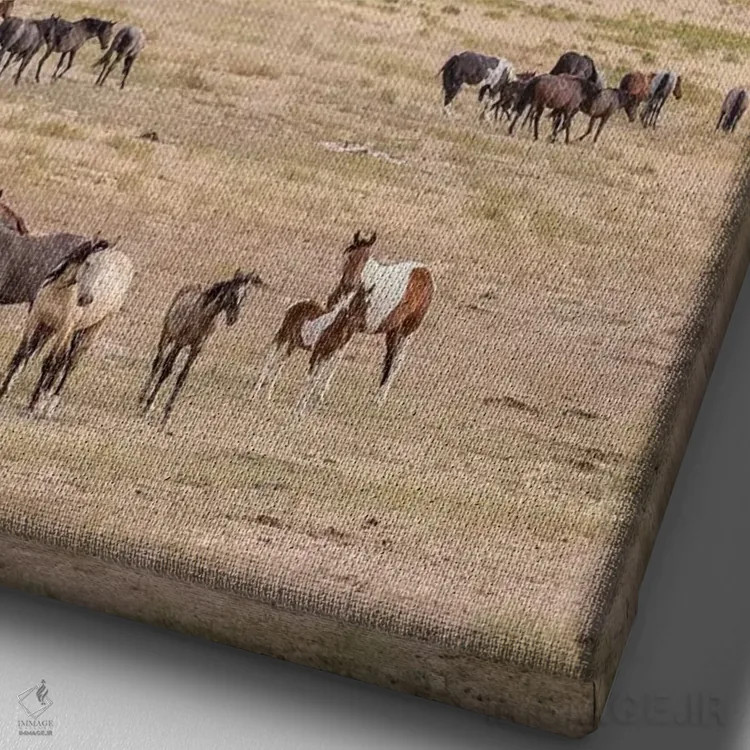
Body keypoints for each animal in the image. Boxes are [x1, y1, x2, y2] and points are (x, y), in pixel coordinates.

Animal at [0, 237, 134, 417]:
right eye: (88, 263)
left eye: (104, 271)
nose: (86, 299)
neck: (59, 291)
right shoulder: (36, 319)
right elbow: (21, 353)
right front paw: (3, 392)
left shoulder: (64, 328)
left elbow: (49, 363)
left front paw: (33, 404)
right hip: (60, 330)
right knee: (56, 359)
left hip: (92, 330)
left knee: (69, 363)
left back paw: (51, 403)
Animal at [140, 270, 263, 426]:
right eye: (232, 292)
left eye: (246, 294)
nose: (233, 318)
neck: (204, 317)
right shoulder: (180, 343)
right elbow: (166, 371)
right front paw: (148, 406)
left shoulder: (196, 349)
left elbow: (182, 377)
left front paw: (166, 416)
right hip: (167, 334)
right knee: (158, 362)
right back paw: (142, 399)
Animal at [295, 283, 373, 414]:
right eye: (358, 302)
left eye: (369, 304)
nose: (362, 324)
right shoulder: (317, 353)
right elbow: (312, 377)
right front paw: (300, 408)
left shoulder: (328, 355)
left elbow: (318, 377)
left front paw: (309, 407)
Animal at [326, 231, 434, 404]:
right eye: (349, 256)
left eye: (366, 259)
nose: (350, 284)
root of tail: (425, 272)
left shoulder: (351, 326)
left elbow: (337, 354)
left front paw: (321, 392)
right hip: (393, 330)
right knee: (389, 357)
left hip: (408, 330)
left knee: (397, 360)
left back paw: (380, 399)